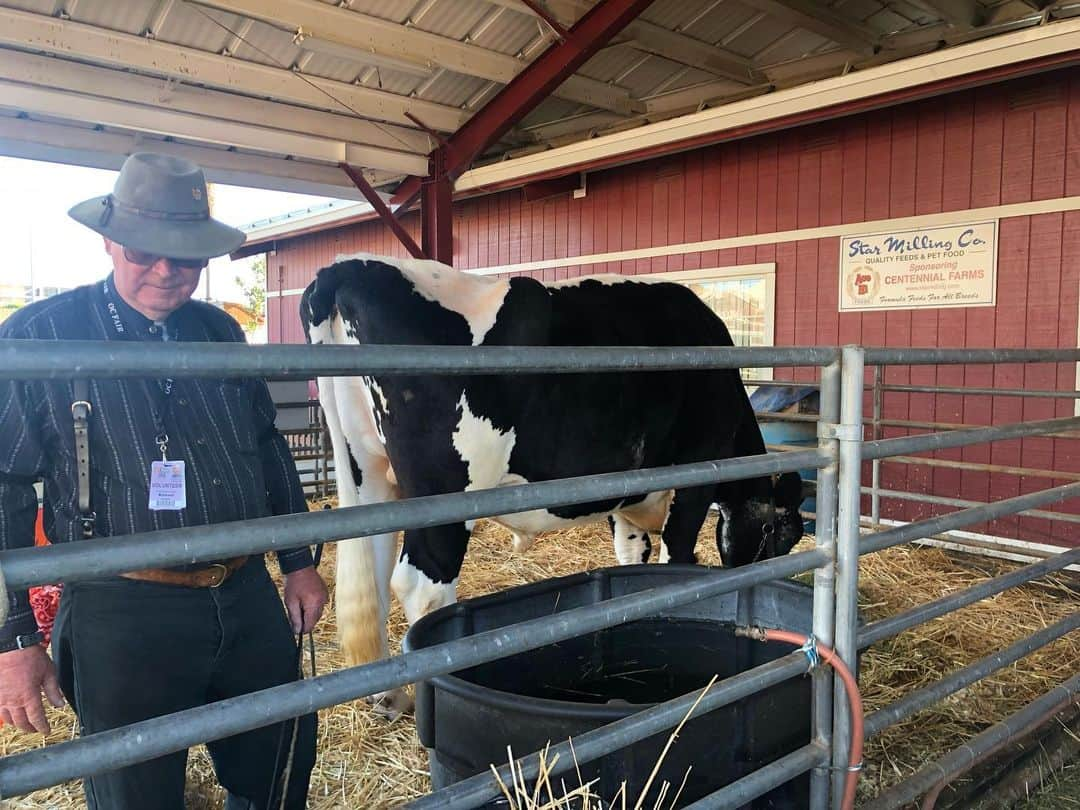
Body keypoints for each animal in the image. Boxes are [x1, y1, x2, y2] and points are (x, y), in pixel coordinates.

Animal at [302, 257, 803, 721]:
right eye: (782, 534)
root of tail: (352, 266)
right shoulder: (693, 477)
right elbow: (676, 558)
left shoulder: (624, 496)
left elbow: (632, 562)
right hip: (443, 492)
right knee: (423, 586)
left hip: (369, 476)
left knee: (374, 577)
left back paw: (391, 699)